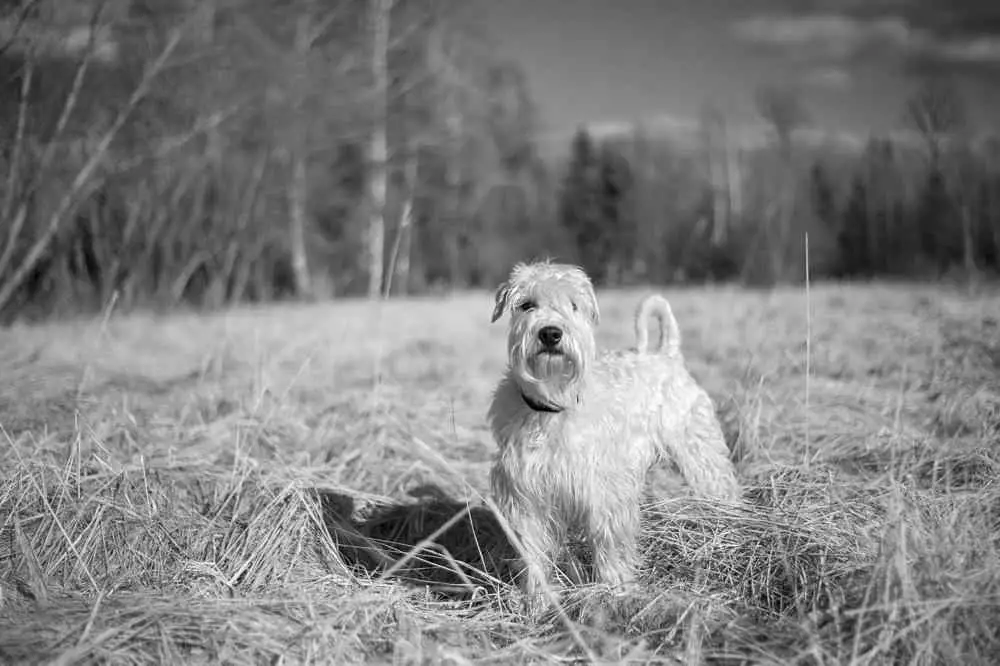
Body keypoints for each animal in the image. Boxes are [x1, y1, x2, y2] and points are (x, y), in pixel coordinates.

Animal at [488, 260, 740, 600]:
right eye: (527, 305)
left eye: (573, 305)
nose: (551, 333)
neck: (554, 404)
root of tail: (668, 355)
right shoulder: (526, 494)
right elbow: (533, 550)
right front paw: (539, 598)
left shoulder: (604, 489)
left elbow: (610, 541)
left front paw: (616, 588)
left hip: (700, 452)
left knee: (721, 485)